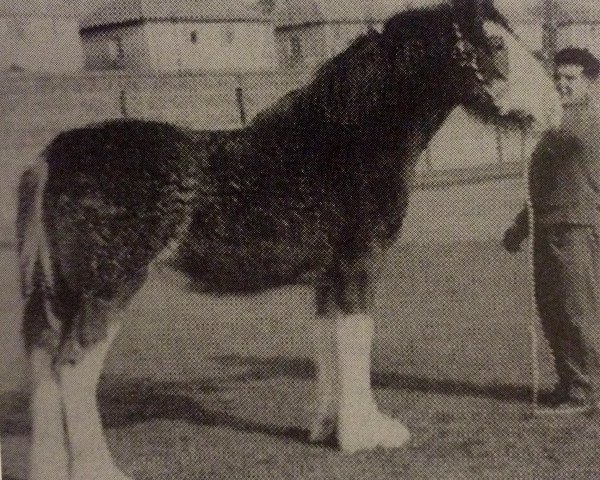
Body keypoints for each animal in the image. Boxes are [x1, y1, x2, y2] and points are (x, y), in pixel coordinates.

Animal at [17, 1, 564, 478]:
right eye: (496, 43)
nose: (555, 109)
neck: (344, 142)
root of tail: (53, 156)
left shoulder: (325, 280)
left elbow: (327, 343)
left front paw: (329, 428)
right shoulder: (358, 267)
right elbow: (357, 339)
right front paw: (367, 435)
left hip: (59, 296)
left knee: (42, 365)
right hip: (107, 291)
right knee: (72, 370)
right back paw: (101, 469)